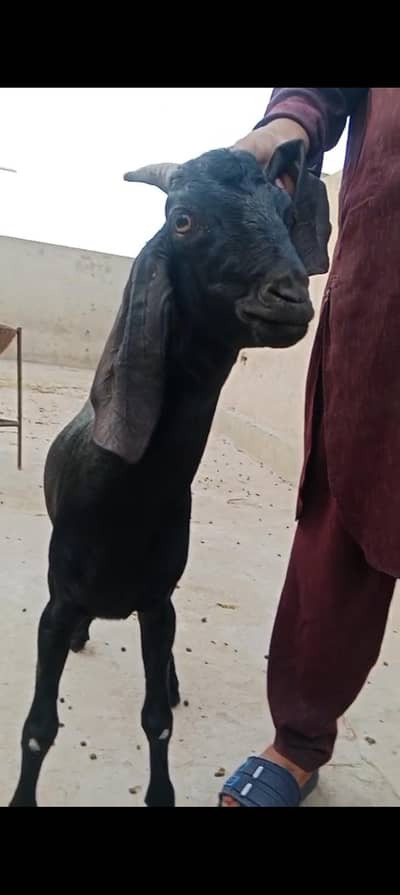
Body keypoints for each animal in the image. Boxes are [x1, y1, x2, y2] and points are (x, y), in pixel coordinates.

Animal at [9, 141, 330, 807]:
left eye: (288, 215)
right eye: (182, 219)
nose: (290, 296)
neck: (124, 497)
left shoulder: (158, 602)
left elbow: (156, 718)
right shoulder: (57, 603)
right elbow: (37, 727)